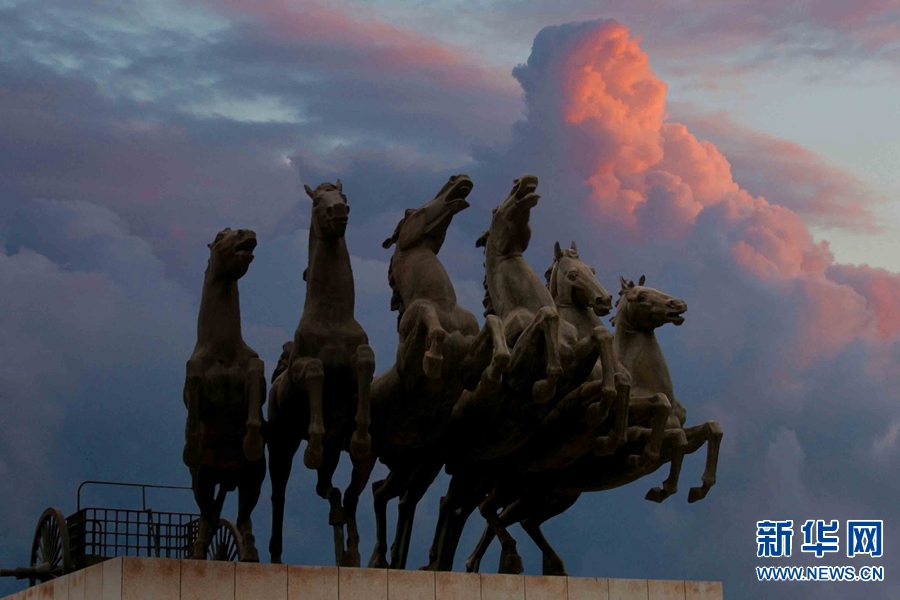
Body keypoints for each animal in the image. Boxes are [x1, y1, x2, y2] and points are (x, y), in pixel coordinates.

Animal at [268, 178, 378, 568]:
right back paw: (274, 556)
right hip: (281, 445)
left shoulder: (360, 359)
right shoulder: (304, 366)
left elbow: (365, 362)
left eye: (343, 196)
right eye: (317, 200)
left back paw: (351, 551)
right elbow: (315, 370)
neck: (332, 315)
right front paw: (312, 447)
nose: (339, 212)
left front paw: (360, 437)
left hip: (340, 458)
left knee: (336, 493)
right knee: (280, 496)